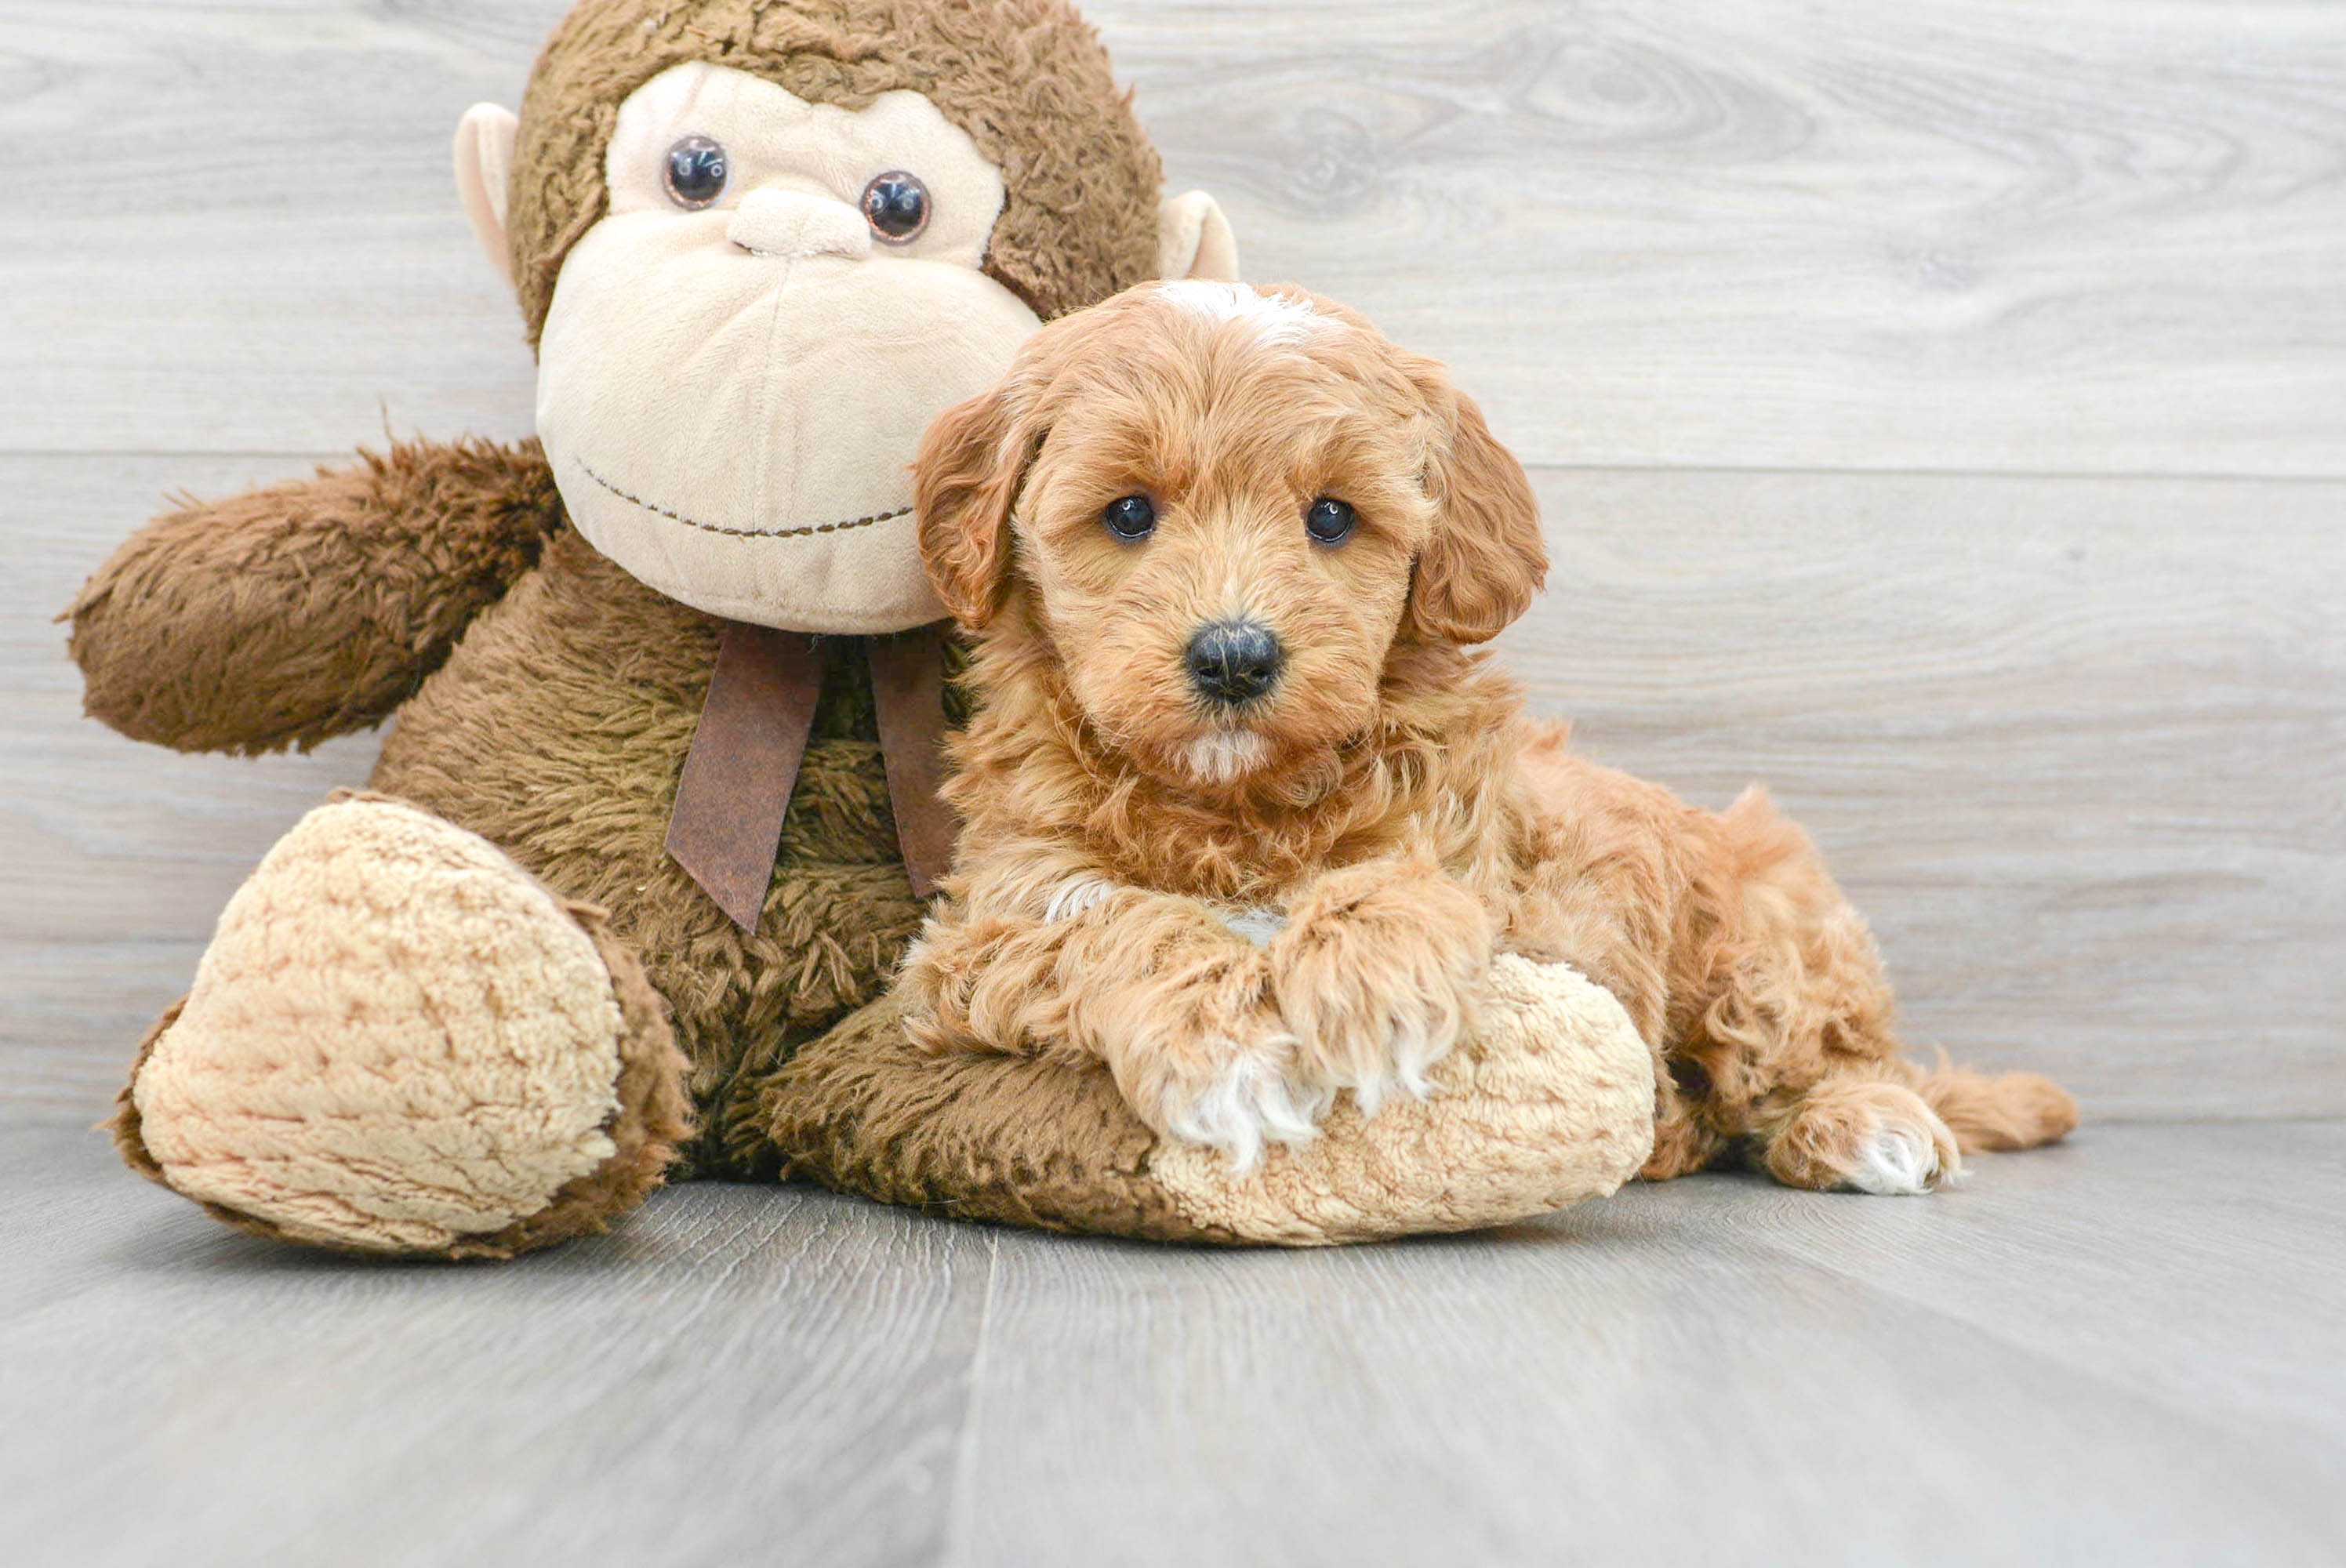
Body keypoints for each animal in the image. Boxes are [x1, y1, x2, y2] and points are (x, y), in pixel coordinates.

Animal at [895, 278, 2073, 1187]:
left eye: (1332, 516)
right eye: (1130, 512)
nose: (1234, 656)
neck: (1235, 804)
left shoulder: (1491, 869)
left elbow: (1401, 883)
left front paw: (1369, 995)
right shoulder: (983, 921)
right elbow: (1112, 922)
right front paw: (1230, 1052)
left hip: (1766, 937)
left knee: (1823, 1057)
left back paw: (1867, 1123)